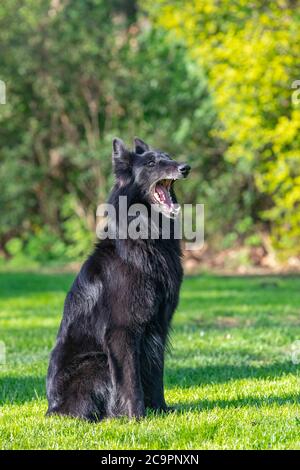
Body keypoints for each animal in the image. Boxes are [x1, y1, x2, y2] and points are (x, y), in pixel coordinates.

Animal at [46, 138, 190, 420]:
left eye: (169, 157)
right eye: (151, 163)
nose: (185, 167)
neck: (149, 240)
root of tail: (52, 407)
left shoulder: (158, 327)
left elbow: (155, 374)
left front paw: (161, 410)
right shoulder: (122, 331)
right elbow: (130, 380)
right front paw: (137, 417)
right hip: (98, 361)